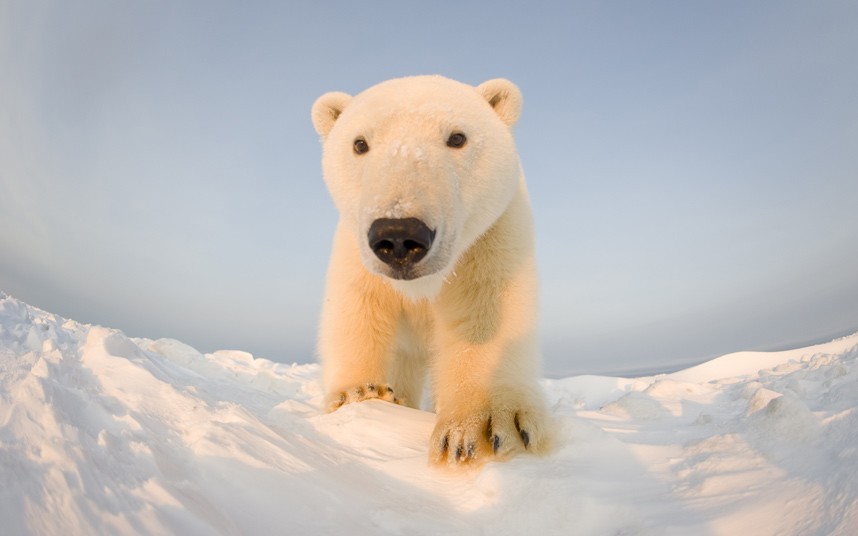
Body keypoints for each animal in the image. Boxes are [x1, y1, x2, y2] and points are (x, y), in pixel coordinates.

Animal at [310, 75, 552, 464]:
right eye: (359, 143)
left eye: (457, 137)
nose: (399, 235)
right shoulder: (356, 250)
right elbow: (357, 309)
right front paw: (358, 394)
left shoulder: (491, 237)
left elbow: (485, 311)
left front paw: (486, 425)